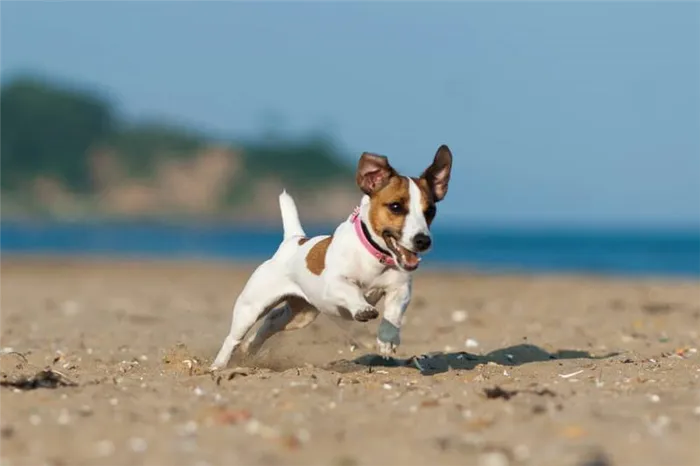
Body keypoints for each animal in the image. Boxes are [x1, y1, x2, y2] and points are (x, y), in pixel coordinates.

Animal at [209, 144, 454, 370]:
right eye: (395, 206)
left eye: (430, 211)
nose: (423, 240)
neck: (374, 255)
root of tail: (294, 240)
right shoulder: (334, 284)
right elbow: (352, 290)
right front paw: (363, 308)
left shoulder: (400, 289)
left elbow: (393, 313)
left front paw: (387, 339)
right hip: (252, 307)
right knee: (233, 337)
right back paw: (219, 365)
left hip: (301, 314)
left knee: (271, 322)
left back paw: (250, 347)